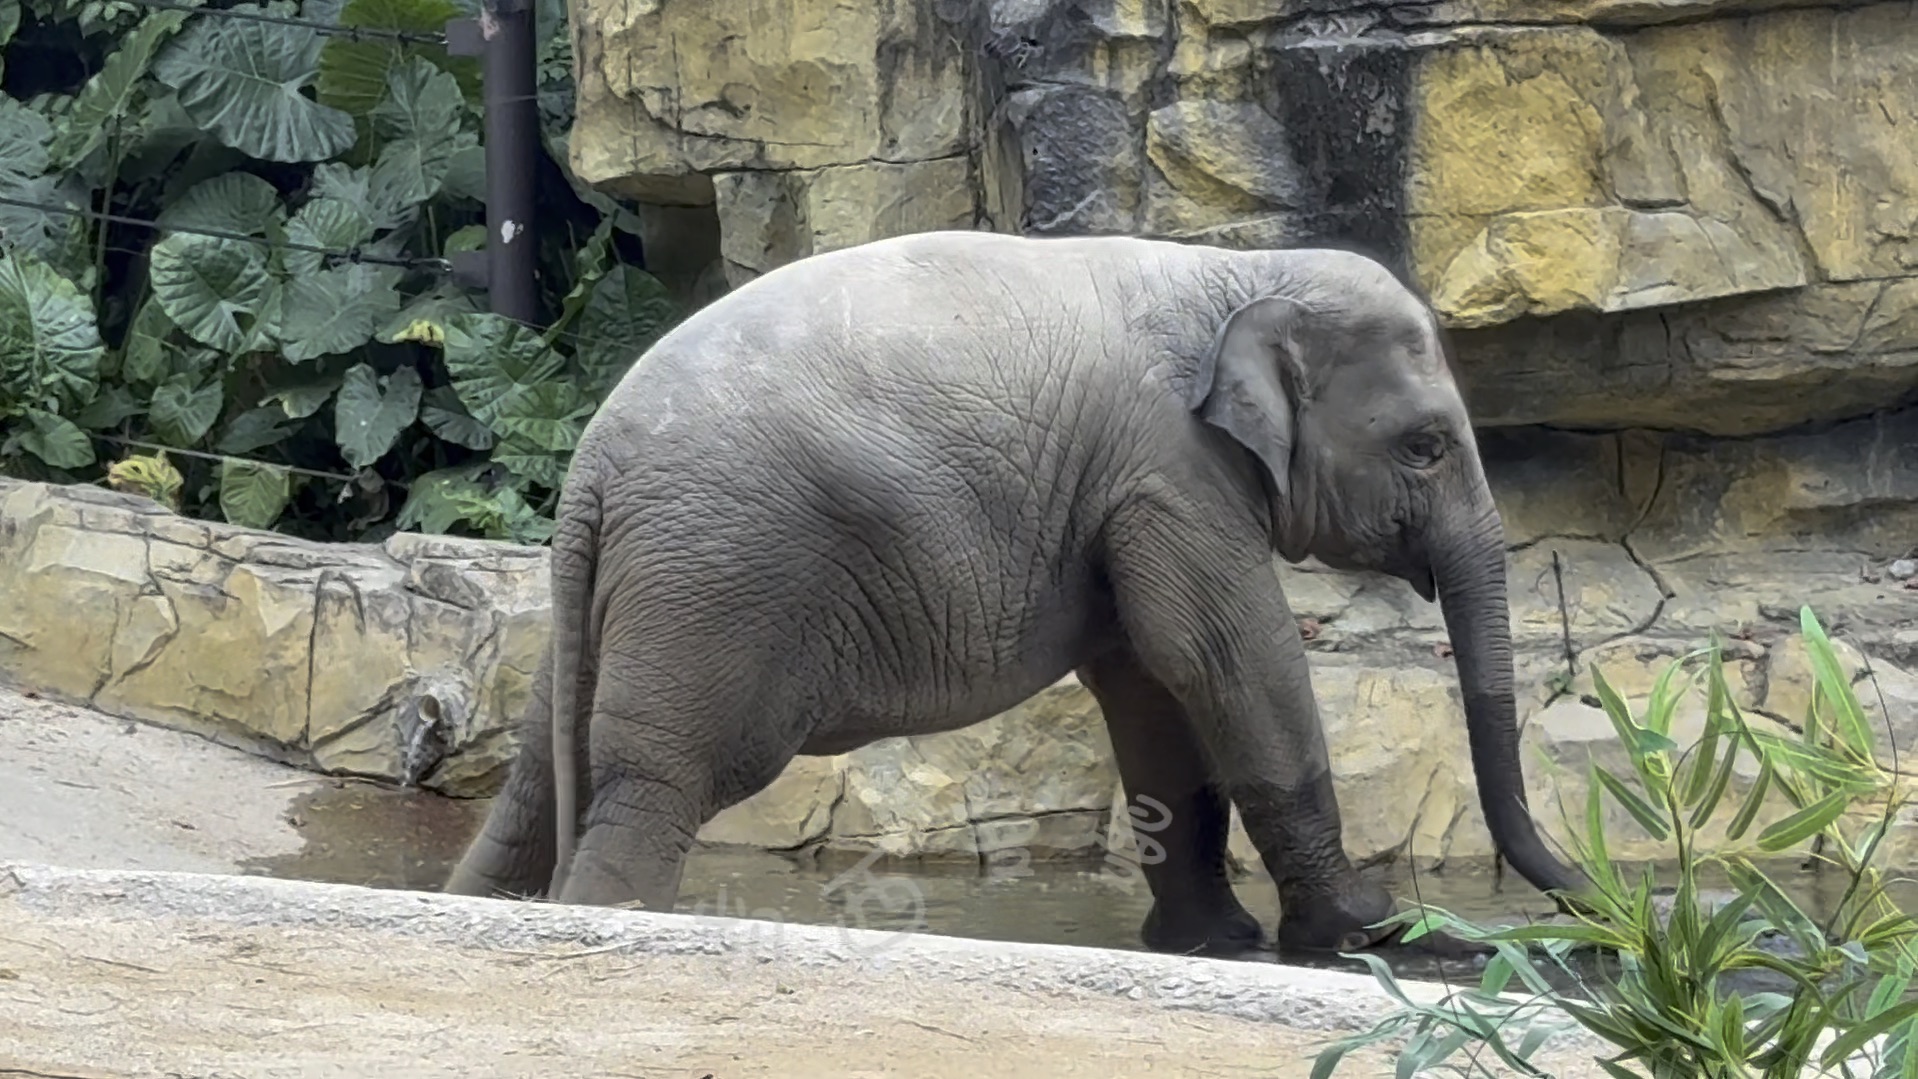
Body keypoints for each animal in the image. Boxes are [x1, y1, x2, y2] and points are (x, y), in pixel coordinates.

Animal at [444, 231, 1588, 958]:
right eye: (1426, 445)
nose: (1589, 912)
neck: (1239, 269)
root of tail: (590, 467)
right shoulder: (1170, 470)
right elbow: (1224, 656)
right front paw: (1363, 931)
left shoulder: (1132, 492)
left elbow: (1148, 686)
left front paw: (1214, 942)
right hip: (715, 577)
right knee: (657, 780)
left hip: (629, 592)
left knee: (540, 781)